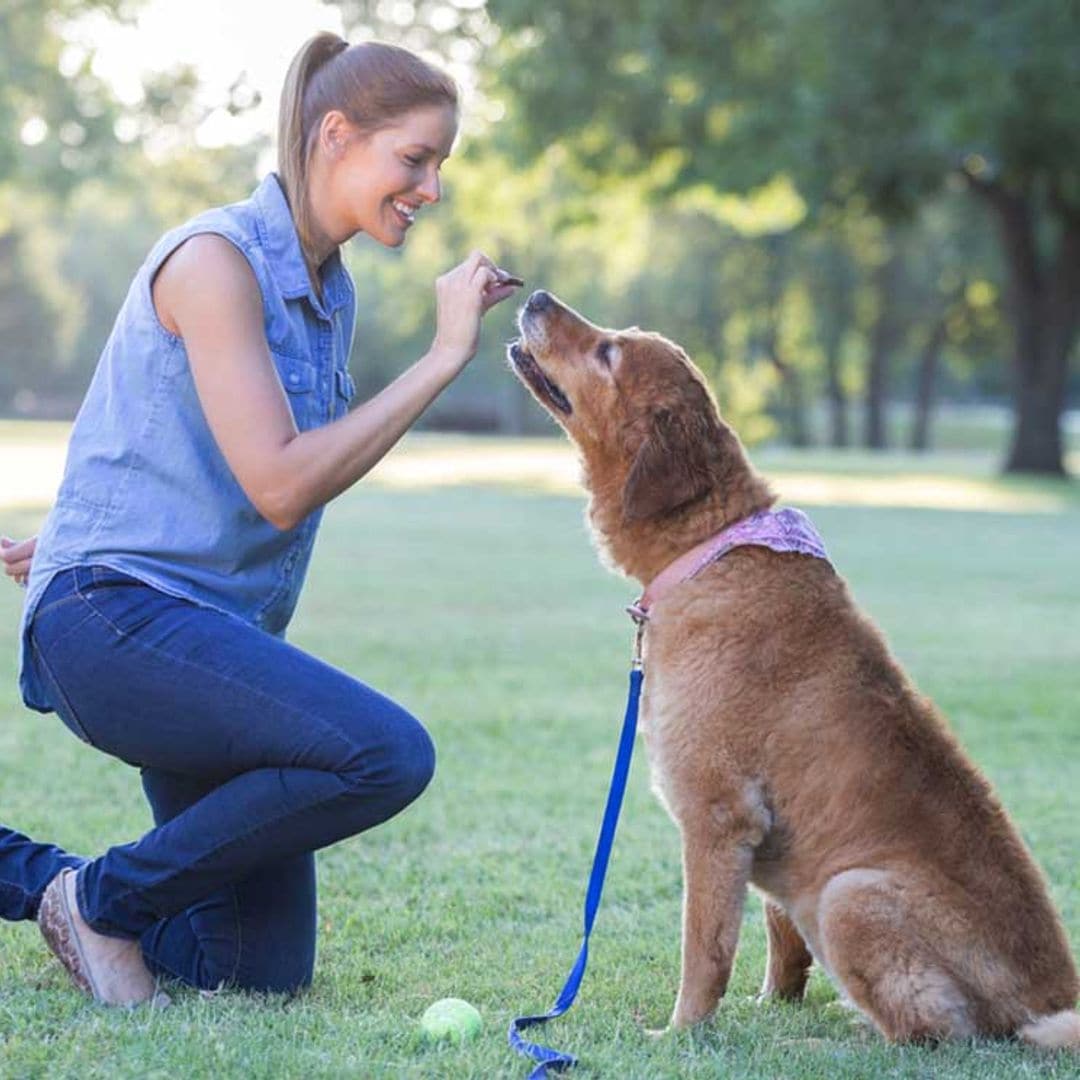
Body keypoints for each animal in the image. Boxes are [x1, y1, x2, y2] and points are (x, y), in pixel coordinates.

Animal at [505, 289, 1080, 1045]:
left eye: (608, 351)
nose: (537, 295)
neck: (711, 544)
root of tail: (1055, 1002)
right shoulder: (766, 839)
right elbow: (780, 937)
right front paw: (774, 1003)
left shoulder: (717, 818)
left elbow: (705, 951)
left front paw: (682, 1034)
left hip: (850, 894)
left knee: (935, 1034)